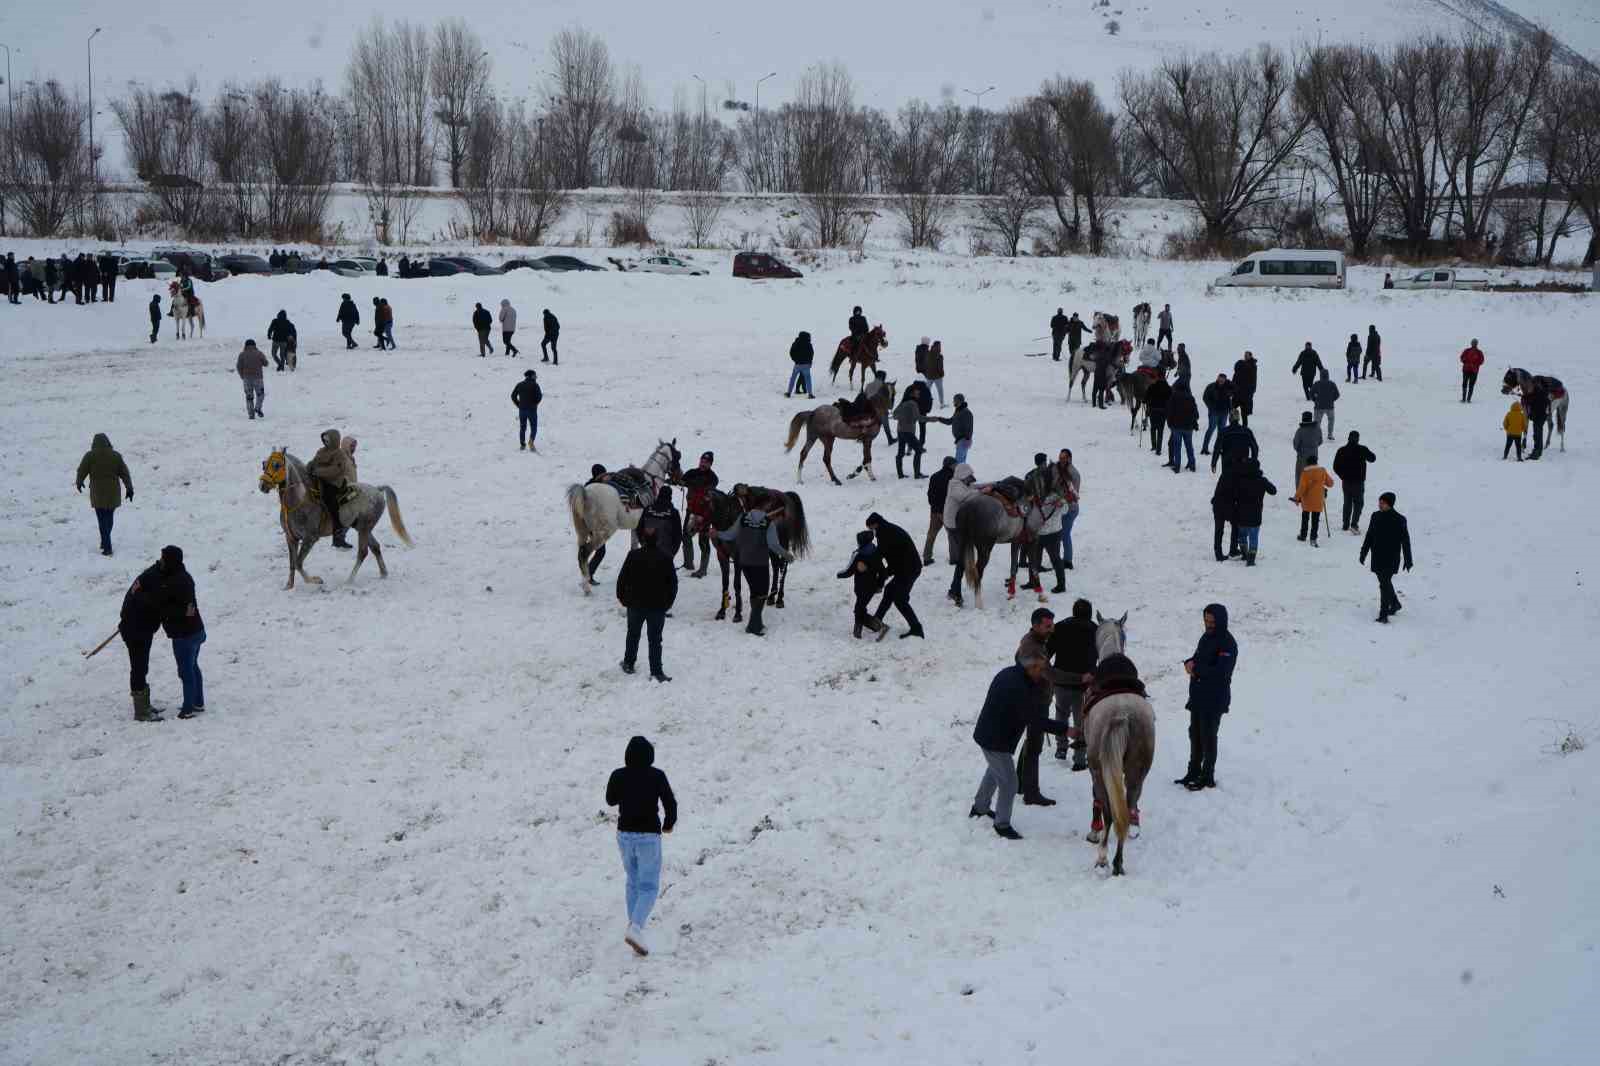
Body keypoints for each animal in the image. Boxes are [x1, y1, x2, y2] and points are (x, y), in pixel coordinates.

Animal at [256, 444, 412, 585]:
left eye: (277, 465)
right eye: (264, 464)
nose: (262, 485)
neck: (298, 502)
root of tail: (378, 490)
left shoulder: (310, 539)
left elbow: (299, 563)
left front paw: (315, 581)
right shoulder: (291, 538)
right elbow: (293, 564)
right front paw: (289, 586)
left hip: (364, 528)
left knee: (363, 552)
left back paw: (349, 580)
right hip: (362, 528)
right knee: (375, 547)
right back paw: (383, 573)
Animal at [563, 435, 681, 592]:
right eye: (677, 455)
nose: (680, 477)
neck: (650, 481)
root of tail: (586, 495)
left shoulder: (635, 527)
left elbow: (634, 546)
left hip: (582, 532)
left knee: (581, 554)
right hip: (603, 533)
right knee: (585, 554)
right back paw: (587, 587)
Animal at [700, 486, 812, 617]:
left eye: (701, 504)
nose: (690, 527)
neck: (728, 519)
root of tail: (785, 495)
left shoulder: (737, 557)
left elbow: (736, 584)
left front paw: (737, 614)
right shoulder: (722, 556)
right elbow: (725, 583)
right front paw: (722, 611)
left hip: (782, 542)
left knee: (783, 567)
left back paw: (779, 599)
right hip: (771, 547)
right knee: (776, 566)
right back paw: (771, 597)